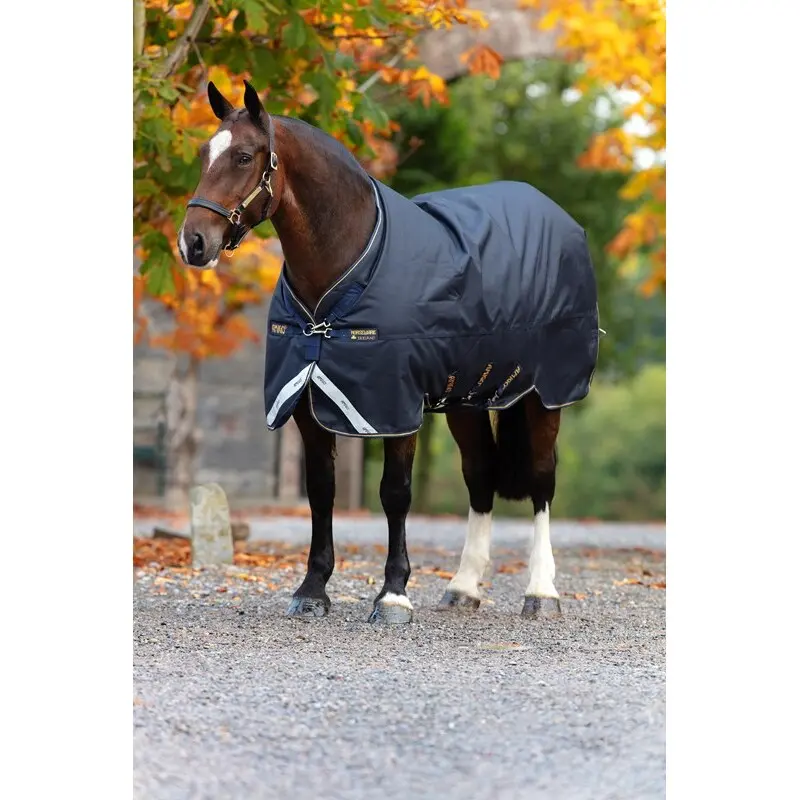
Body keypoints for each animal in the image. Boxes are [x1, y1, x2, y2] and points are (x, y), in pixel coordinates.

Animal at [177, 80, 600, 624]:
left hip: (545, 393)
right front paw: (312, 590)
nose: (193, 243)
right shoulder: (307, 406)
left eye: (244, 156)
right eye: (203, 153)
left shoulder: (395, 405)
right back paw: (463, 587)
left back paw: (542, 592)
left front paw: (394, 594)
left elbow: (395, 493)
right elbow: (321, 491)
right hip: (466, 398)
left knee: (543, 481)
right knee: (480, 476)